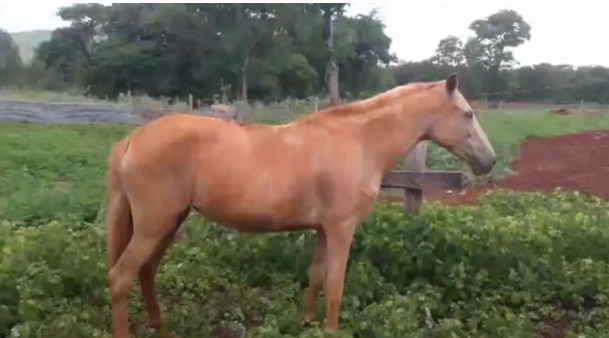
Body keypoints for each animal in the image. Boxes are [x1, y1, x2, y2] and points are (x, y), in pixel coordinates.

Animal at [104, 72, 494, 336]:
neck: (358, 140)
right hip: (154, 225)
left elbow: (316, 277)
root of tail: (131, 140)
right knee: (120, 278)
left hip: (168, 223)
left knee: (146, 271)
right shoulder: (341, 229)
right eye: (467, 114)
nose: (488, 162)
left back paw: (161, 328)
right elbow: (335, 286)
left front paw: (307, 323)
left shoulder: (323, 229)